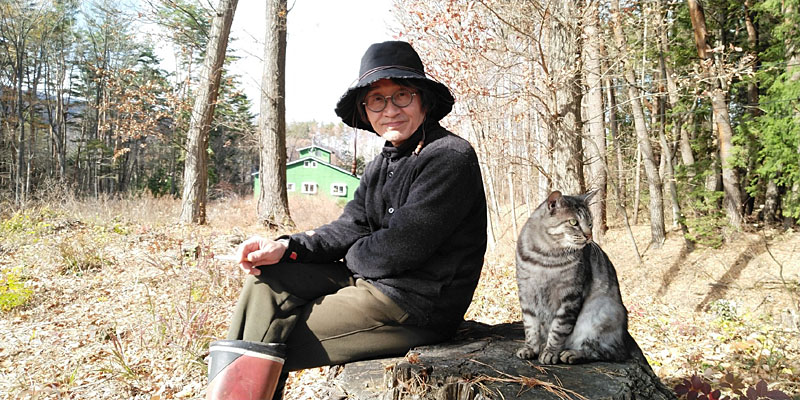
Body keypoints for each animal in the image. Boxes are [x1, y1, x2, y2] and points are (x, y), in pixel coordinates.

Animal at [515, 190, 631, 365]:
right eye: (573, 222)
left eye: (590, 224)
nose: (589, 236)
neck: (545, 257)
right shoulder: (526, 293)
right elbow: (530, 327)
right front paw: (530, 348)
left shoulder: (570, 296)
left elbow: (558, 329)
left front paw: (550, 352)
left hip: (600, 313)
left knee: (606, 351)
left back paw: (572, 353)